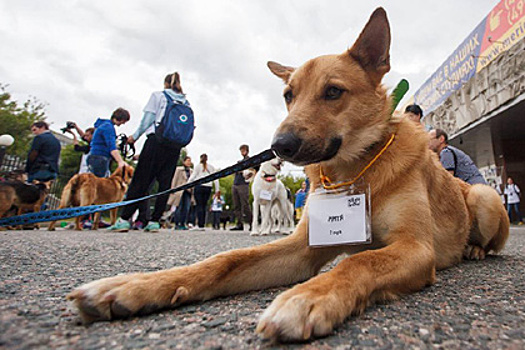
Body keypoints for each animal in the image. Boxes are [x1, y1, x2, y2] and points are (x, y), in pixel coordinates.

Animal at [66, 8, 508, 342]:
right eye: (288, 96)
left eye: (333, 92)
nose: (279, 146)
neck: (354, 169)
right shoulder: (300, 249)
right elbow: (225, 260)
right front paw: (136, 285)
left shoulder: (415, 248)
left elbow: (358, 263)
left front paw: (309, 297)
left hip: (485, 198)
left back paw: (475, 249)